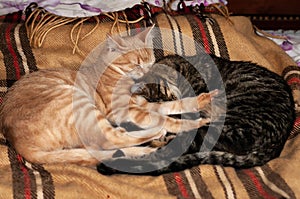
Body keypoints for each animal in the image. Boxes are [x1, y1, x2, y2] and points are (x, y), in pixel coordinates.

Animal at [0, 26, 216, 166]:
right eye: (136, 64)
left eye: (150, 61)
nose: (146, 74)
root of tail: (15, 141)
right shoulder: (123, 110)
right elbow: (165, 117)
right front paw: (191, 122)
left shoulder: (140, 104)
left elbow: (172, 106)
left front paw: (201, 100)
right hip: (78, 102)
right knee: (110, 139)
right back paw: (158, 134)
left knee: (103, 148)